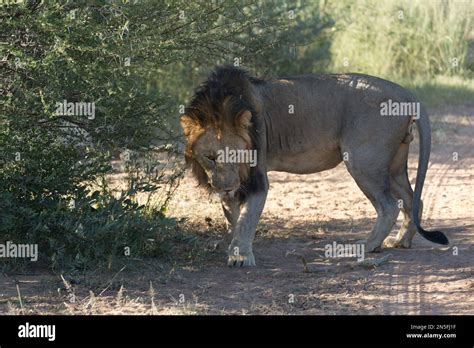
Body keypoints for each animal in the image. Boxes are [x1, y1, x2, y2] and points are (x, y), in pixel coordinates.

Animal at [181, 66, 448, 266]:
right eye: (211, 157)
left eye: (235, 154)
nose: (227, 186)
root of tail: (405, 92)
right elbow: (233, 217)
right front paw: (233, 246)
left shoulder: (257, 177)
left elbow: (247, 219)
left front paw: (241, 256)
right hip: (393, 167)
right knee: (413, 200)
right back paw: (401, 240)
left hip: (363, 162)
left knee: (389, 206)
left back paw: (364, 247)